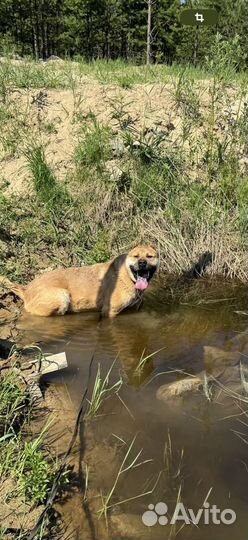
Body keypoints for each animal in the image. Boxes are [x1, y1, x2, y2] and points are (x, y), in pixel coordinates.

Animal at [2, 245, 159, 316]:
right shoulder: (109, 312)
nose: (142, 263)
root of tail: (26, 289)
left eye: (150, 256)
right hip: (62, 296)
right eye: (136, 256)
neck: (126, 275)